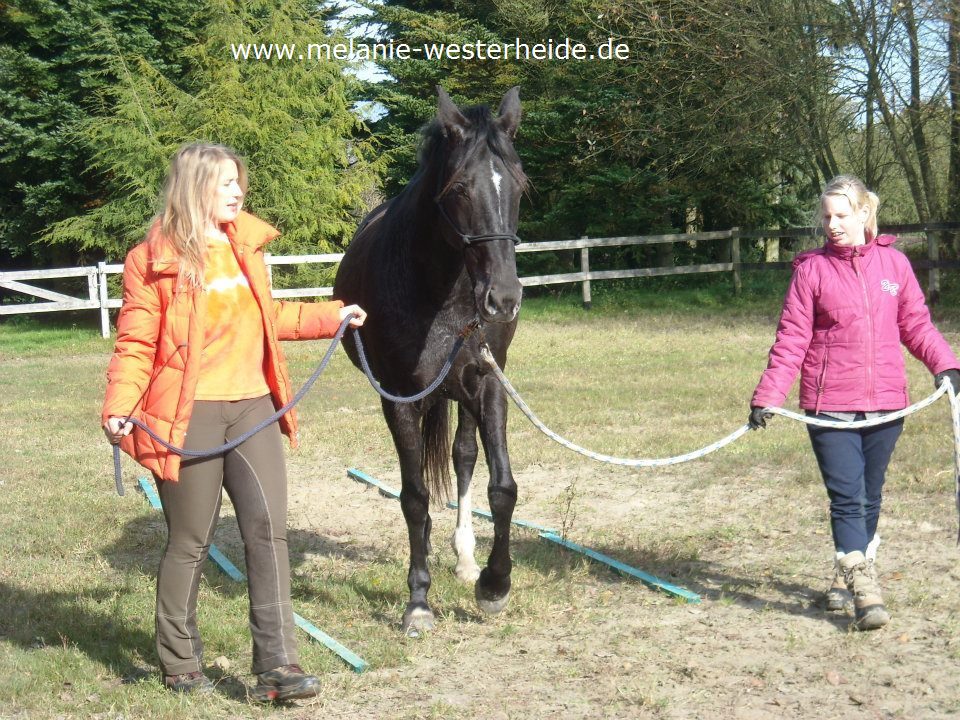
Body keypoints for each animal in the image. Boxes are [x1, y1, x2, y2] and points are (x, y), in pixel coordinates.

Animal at [332, 86, 524, 636]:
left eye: (519, 186)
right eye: (459, 189)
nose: (504, 299)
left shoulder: (488, 382)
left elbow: (501, 486)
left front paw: (494, 584)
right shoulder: (399, 398)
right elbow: (414, 497)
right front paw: (418, 600)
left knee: (463, 457)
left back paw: (465, 558)